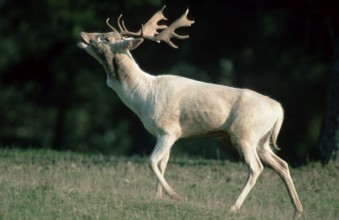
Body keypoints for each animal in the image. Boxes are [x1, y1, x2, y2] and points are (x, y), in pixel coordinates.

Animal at [78, 5, 304, 218]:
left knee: (256, 168)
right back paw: (297, 210)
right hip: (262, 141)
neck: (143, 96)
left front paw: (175, 195)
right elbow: (162, 163)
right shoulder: (163, 134)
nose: (82, 34)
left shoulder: (169, 130)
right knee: (282, 164)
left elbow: (152, 161)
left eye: (106, 38)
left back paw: (234, 206)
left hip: (244, 135)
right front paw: (158, 197)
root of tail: (279, 110)